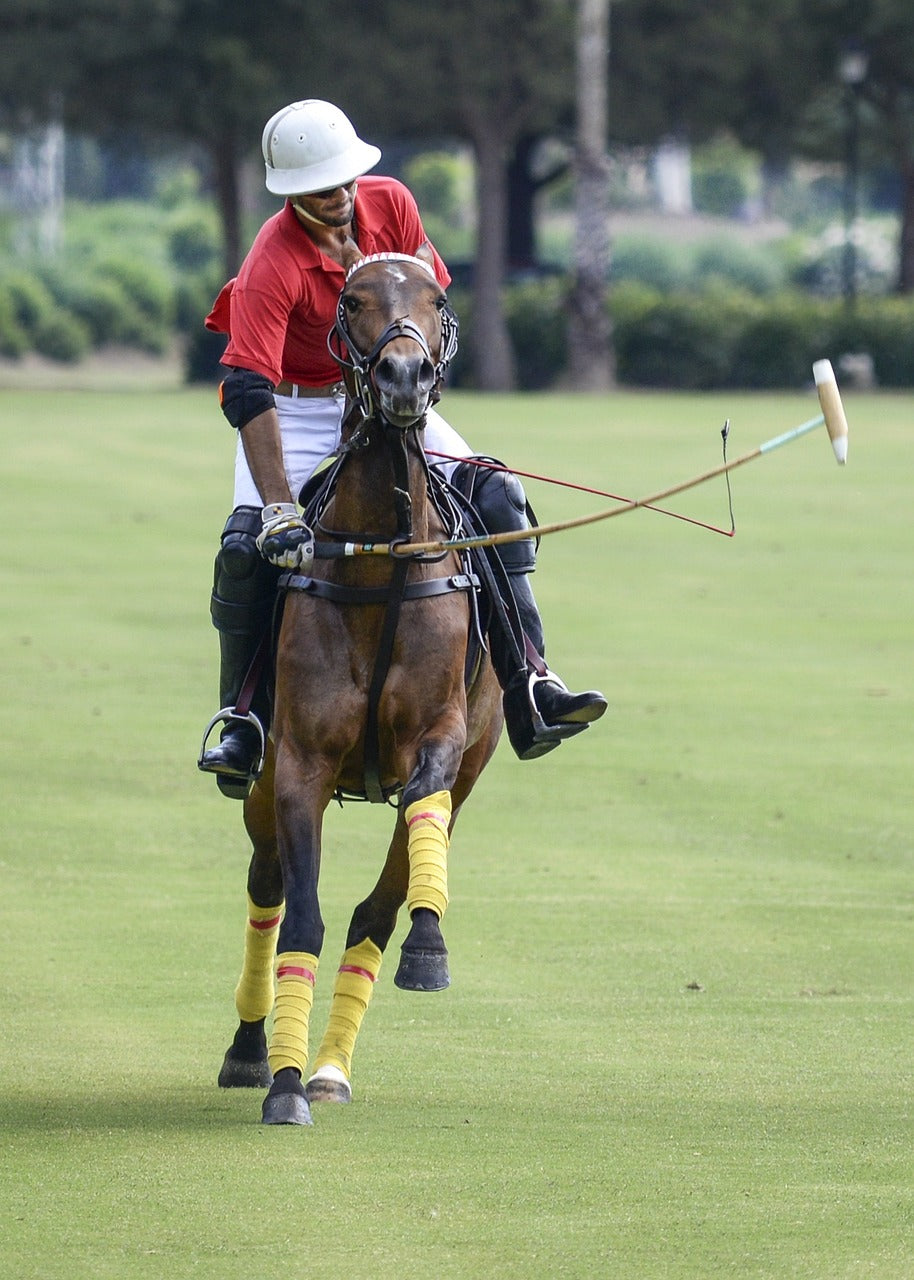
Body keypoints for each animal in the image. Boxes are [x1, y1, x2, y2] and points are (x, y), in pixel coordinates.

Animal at [217, 254, 501, 1126]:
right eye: (352, 299)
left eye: (437, 297)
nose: (405, 376)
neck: (379, 562)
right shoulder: (303, 762)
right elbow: (301, 918)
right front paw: (281, 1084)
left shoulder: (445, 742)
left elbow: (405, 850)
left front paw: (428, 945)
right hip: (261, 779)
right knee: (268, 888)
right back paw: (252, 1050)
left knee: (375, 905)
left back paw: (332, 1067)